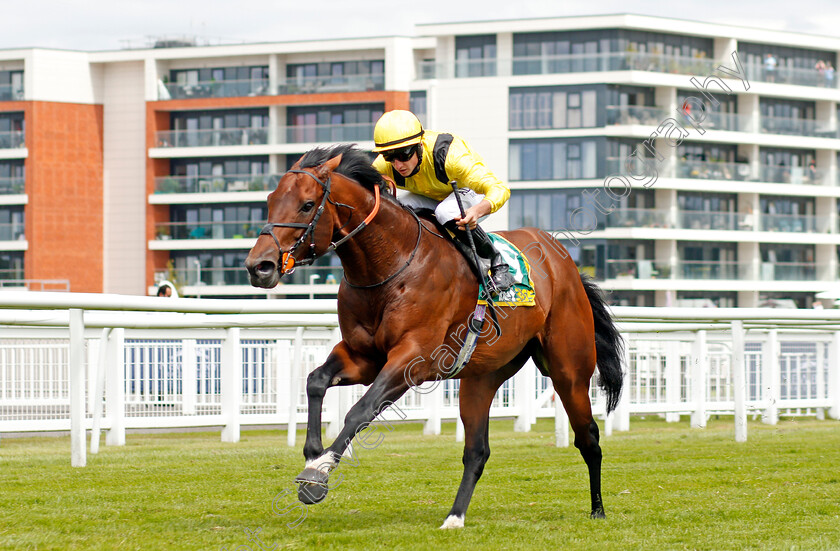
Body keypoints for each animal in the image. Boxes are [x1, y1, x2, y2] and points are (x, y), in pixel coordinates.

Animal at [244, 144, 624, 528]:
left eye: (307, 205)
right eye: (270, 200)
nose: (259, 266)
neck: (390, 265)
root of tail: (565, 262)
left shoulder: (413, 359)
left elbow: (360, 410)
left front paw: (318, 472)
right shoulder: (362, 356)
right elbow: (316, 381)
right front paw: (311, 455)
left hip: (568, 370)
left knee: (588, 438)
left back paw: (598, 509)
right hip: (481, 378)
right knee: (477, 451)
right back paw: (455, 517)